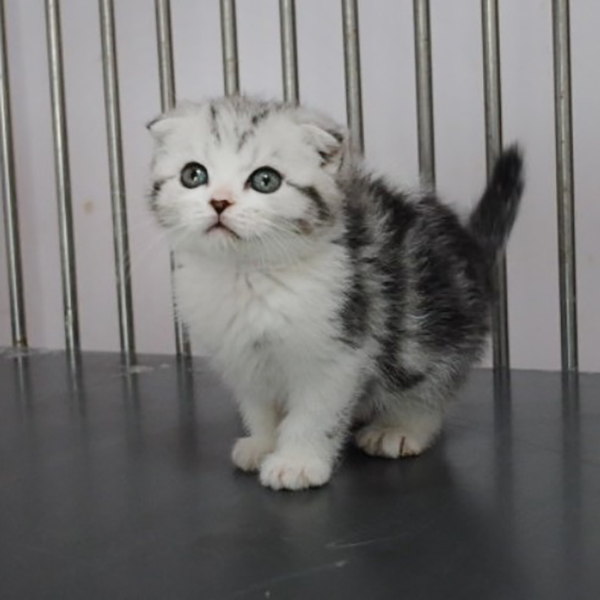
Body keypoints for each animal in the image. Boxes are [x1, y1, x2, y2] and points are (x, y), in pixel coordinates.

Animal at [147, 96, 524, 491]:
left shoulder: (338, 349)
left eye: (265, 180)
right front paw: (263, 444)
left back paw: (400, 428)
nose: (220, 202)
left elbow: (314, 413)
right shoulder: (240, 356)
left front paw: (296, 463)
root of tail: (473, 250)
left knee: (434, 384)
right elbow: (259, 405)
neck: (246, 276)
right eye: (193, 175)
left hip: (437, 332)